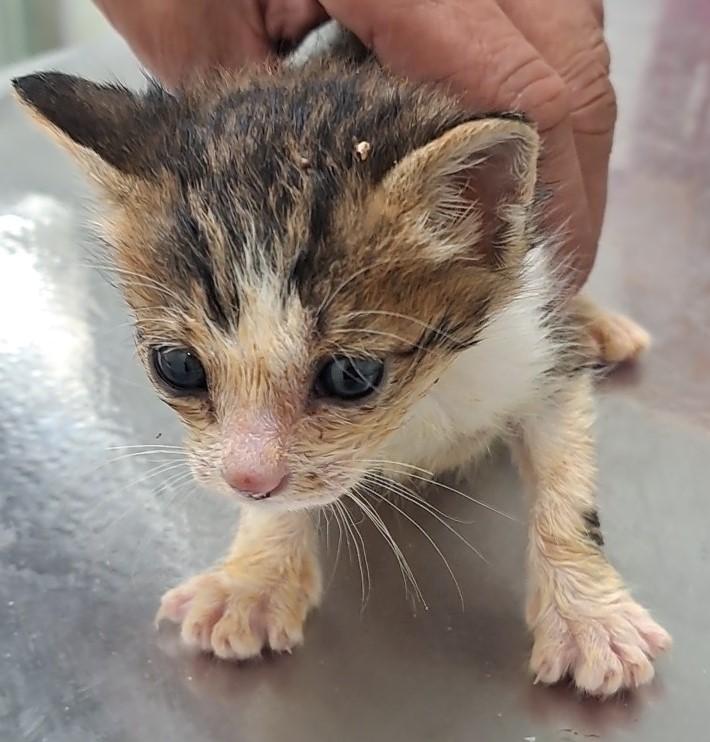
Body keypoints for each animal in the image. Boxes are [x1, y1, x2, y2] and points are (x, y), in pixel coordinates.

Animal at [13, 24, 672, 696]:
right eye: (178, 366)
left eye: (351, 376)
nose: (246, 479)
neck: (419, 402)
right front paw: (252, 583)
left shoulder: (534, 338)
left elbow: (568, 486)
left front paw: (587, 620)